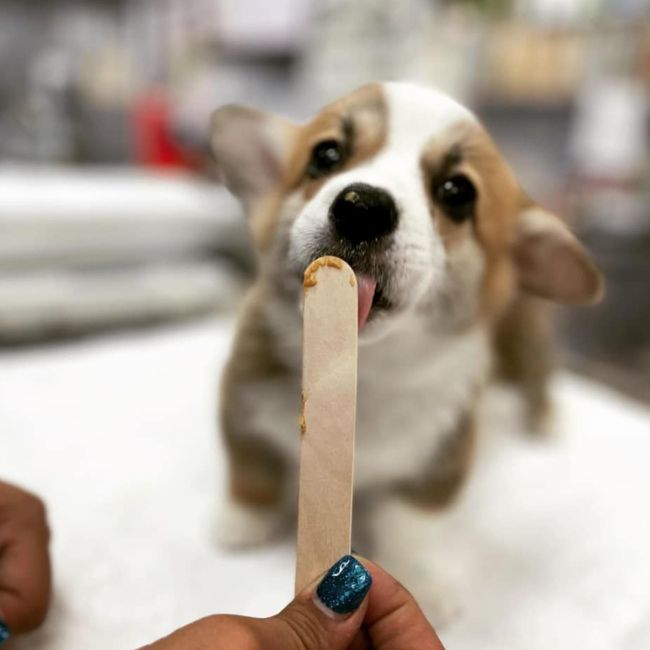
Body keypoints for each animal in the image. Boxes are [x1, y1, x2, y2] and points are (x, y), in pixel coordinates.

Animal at [210, 83, 600, 620]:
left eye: (457, 192)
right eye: (325, 155)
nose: (361, 205)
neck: (368, 370)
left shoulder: (442, 455)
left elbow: (413, 521)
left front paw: (424, 582)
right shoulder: (243, 399)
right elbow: (252, 465)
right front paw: (242, 521)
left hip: (528, 343)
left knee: (538, 383)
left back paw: (548, 422)